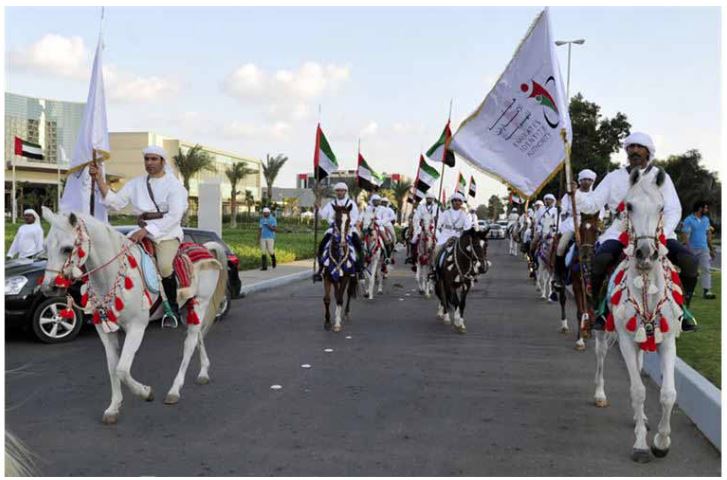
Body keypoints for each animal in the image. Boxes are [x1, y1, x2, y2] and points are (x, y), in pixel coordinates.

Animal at [40, 208, 228, 426]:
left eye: (67, 248)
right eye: (45, 247)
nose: (48, 288)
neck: (112, 274)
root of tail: (205, 248)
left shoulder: (136, 327)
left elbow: (122, 369)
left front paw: (145, 392)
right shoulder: (105, 331)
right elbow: (113, 368)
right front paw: (113, 408)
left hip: (200, 303)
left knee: (189, 344)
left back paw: (174, 390)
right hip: (187, 309)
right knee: (197, 337)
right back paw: (203, 372)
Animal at [592, 167, 684, 464]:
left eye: (661, 207)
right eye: (629, 206)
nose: (645, 253)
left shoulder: (667, 341)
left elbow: (668, 394)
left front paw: (661, 443)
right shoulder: (624, 340)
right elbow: (638, 391)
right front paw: (642, 445)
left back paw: (640, 419)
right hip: (604, 332)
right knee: (600, 357)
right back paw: (600, 394)